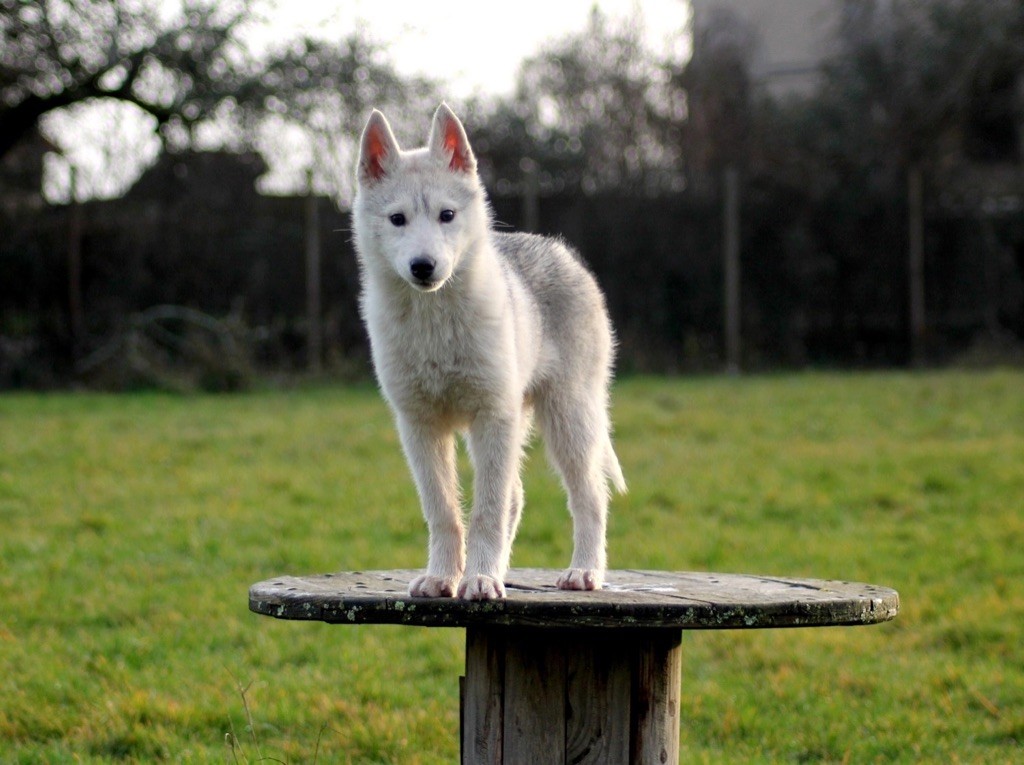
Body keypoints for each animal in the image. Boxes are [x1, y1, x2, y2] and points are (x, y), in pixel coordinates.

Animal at [351, 103, 625, 600]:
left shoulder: (492, 415)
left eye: (447, 215)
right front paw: (443, 577)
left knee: (589, 497)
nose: (424, 267)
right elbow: (443, 510)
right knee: (517, 495)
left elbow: (486, 511)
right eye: (397, 219)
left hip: (569, 417)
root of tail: (560, 252)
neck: (435, 319)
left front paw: (479, 579)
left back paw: (584, 572)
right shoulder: (419, 426)